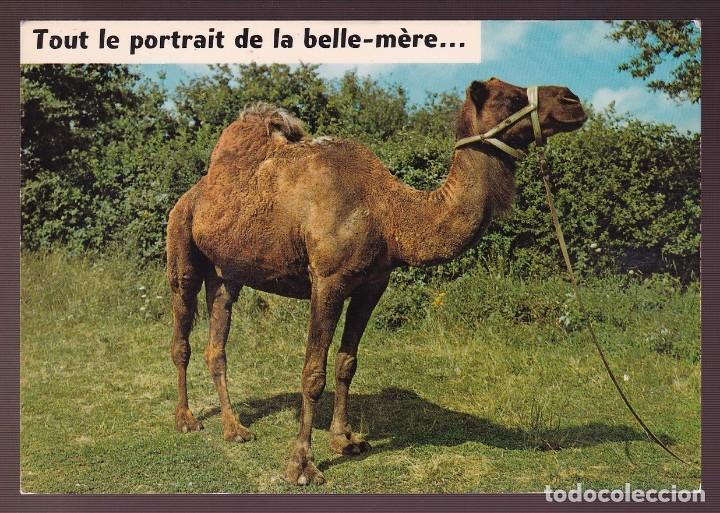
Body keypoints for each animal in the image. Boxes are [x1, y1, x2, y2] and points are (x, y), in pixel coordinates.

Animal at [166, 77, 587, 485]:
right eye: (510, 98)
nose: (573, 99)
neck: (388, 214)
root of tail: (193, 193)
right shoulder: (327, 282)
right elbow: (313, 373)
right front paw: (302, 465)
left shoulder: (372, 284)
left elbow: (346, 363)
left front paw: (345, 440)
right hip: (181, 250)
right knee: (181, 337)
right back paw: (186, 419)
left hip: (227, 274)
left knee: (217, 345)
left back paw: (235, 429)